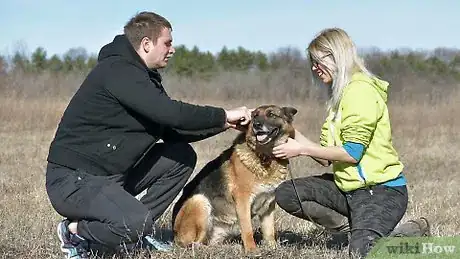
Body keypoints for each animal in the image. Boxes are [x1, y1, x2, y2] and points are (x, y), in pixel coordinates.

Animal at [171, 104, 296, 255]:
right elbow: (247, 229)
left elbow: (269, 231)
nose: (256, 125)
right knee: (193, 244)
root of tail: (174, 234)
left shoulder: (269, 206)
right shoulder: (243, 200)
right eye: (254, 116)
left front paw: (273, 248)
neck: (265, 157)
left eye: (271, 114)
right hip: (199, 201)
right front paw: (252, 250)